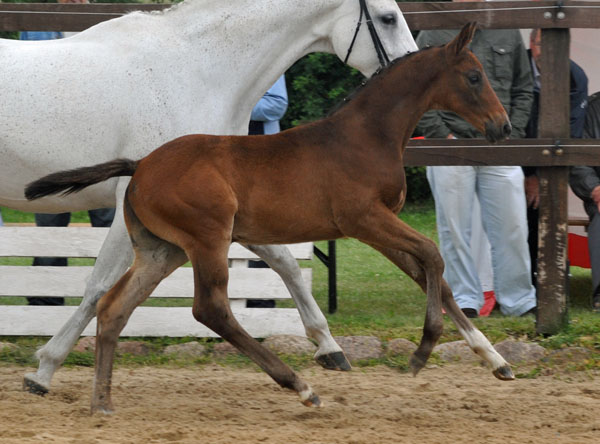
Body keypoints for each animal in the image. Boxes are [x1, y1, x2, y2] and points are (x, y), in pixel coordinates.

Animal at [27, 23, 516, 412]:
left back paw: (101, 402)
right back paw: (300, 386)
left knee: (114, 307)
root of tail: (141, 164)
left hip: (161, 250)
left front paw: (497, 361)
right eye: (474, 76)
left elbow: (434, 276)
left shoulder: (378, 228)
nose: (504, 127)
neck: (365, 136)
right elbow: (433, 255)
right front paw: (422, 352)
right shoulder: (364, 220)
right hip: (208, 239)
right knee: (210, 309)